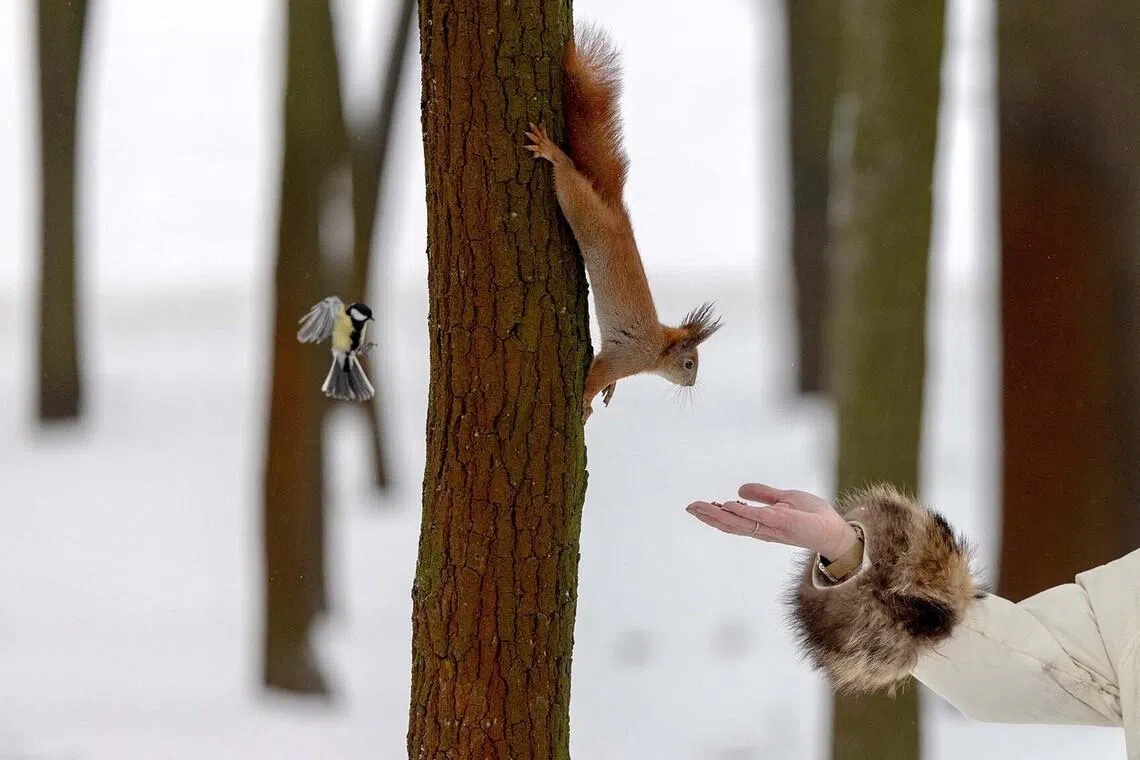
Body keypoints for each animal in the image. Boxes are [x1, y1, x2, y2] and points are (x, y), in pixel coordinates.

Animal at [525, 25, 722, 422]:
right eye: (689, 363)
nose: (692, 384)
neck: (657, 348)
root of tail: (616, 211)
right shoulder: (625, 356)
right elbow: (597, 374)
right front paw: (585, 403)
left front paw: (609, 392)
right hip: (582, 210)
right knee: (568, 177)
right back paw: (553, 153)